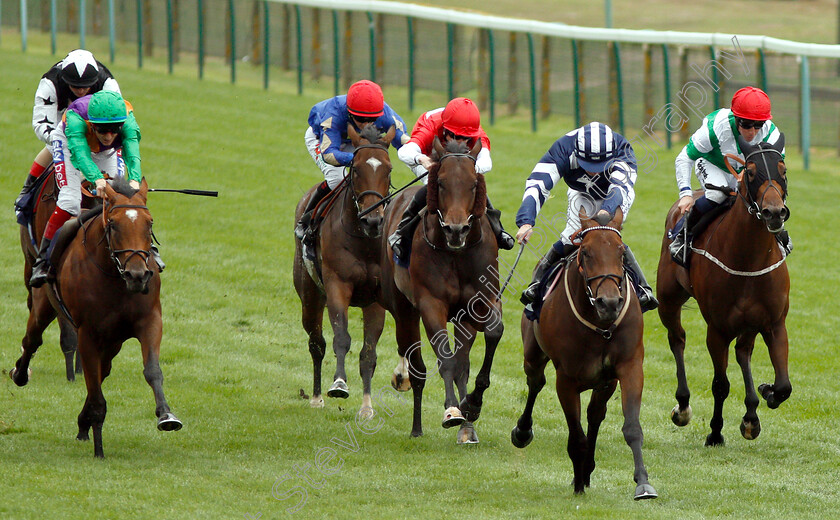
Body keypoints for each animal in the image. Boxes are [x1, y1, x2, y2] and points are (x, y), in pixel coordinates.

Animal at [10, 178, 182, 456]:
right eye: (113, 224)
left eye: (150, 223)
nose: (137, 275)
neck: (115, 279)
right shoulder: (87, 333)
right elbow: (94, 386)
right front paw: (99, 446)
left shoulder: (150, 321)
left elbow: (152, 371)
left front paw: (166, 416)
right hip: (43, 305)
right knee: (32, 340)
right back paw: (20, 374)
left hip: (113, 341)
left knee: (103, 370)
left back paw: (84, 421)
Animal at [294, 124, 396, 416]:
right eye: (357, 169)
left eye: (388, 169)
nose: (373, 220)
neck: (363, 240)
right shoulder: (337, 285)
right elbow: (341, 338)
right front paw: (339, 384)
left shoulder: (375, 299)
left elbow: (368, 353)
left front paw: (367, 407)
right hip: (310, 295)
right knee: (316, 342)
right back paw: (316, 397)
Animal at [380, 137, 506, 442]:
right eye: (440, 183)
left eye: (473, 184)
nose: (456, 229)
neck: (456, 254)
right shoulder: (431, 303)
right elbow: (445, 359)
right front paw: (451, 410)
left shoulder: (481, 302)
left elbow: (490, 336)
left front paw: (472, 406)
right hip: (403, 309)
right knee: (417, 365)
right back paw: (417, 427)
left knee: (461, 364)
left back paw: (467, 427)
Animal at [508, 209, 660, 502]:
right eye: (587, 252)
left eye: (621, 252)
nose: (609, 303)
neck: (600, 325)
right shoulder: (566, 380)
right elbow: (576, 435)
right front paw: (578, 483)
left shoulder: (628, 367)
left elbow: (631, 427)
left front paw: (643, 484)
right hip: (533, 355)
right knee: (535, 384)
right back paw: (523, 432)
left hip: (604, 383)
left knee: (595, 414)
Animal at [660, 135, 792, 446]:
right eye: (752, 172)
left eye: (782, 169)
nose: (774, 213)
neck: (748, 259)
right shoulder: (717, 329)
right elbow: (720, 384)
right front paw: (715, 432)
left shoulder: (774, 323)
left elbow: (783, 386)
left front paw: (764, 394)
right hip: (667, 299)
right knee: (677, 339)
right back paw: (682, 406)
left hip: (750, 323)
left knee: (743, 351)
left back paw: (752, 413)